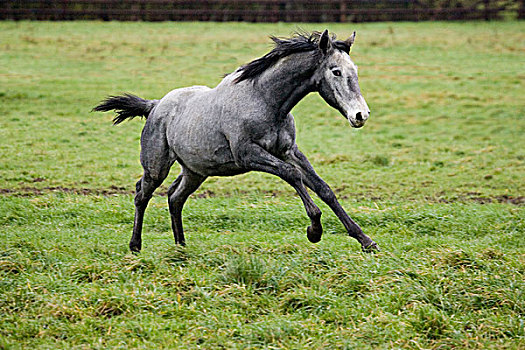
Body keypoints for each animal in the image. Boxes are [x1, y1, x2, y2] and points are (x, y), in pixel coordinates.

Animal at [94, 30, 378, 253]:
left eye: (354, 71)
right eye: (336, 71)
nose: (360, 115)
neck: (265, 101)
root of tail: (154, 106)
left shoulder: (289, 151)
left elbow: (323, 188)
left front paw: (366, 241)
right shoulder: (248, 154)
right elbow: (292, 174)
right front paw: (314, 230)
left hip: (195, 171)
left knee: (175, 197)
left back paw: (181, 246)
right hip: (157, 166)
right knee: (142, 194)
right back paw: (135, 246)